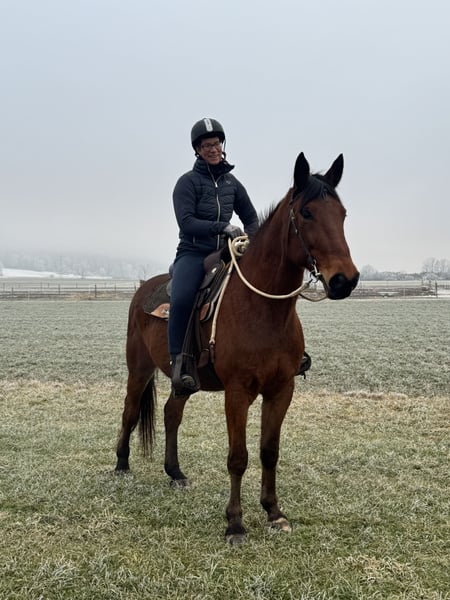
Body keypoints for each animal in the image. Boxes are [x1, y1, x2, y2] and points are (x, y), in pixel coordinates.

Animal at [115, 152, 359, 544]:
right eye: (307, 213)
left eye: (343, 214)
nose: (344, 280)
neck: (263, 309)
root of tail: (142, 290)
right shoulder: (237, 392)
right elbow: (238, 456)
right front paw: (235, 523)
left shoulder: (281, 390)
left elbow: (269, 451)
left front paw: (274, 512)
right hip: (138, 369)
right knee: (130, 410)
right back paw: (121, 463)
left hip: (185, 381)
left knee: (171, 413)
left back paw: (175, 473)